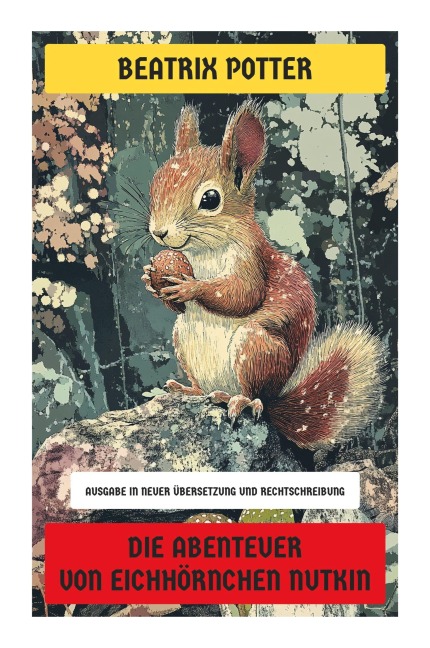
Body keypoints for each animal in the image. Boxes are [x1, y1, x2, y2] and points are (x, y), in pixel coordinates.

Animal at [141, 100, 384, 450]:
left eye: (210, 199)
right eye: (155, 183)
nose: (159, 232)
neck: (202, 251)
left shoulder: (250, 259)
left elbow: (242, 295)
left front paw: (192, 287)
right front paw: (151, 278)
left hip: (255, 348)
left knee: (257, 396)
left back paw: (239, 400)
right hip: (183, 338)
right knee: (205, 387)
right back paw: (191, 390)